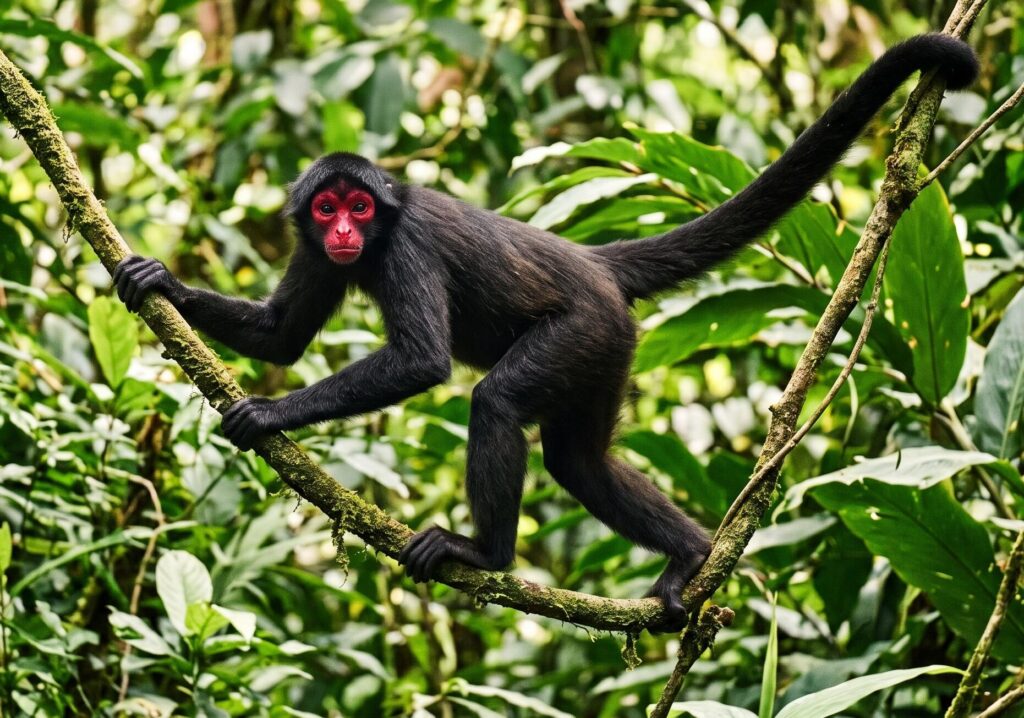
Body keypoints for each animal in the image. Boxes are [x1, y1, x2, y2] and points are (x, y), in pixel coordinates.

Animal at [113, 34, 977, 631]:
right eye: (326, 210)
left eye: (360, 207)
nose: (347, 233)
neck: (382, 230)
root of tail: (592, 264)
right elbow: (283, 335)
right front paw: (159, 283)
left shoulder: (406, 244)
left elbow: (421, 363)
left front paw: (267, 413)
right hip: (609, 352)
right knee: (577, 459)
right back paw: (691, 557)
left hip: (582, 330)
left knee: (497, 404)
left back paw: (485, 554)